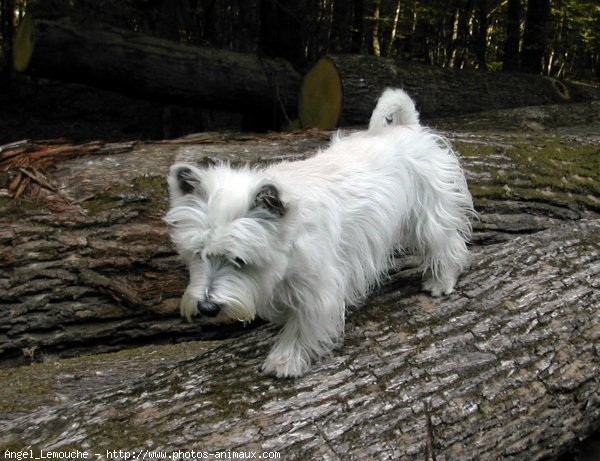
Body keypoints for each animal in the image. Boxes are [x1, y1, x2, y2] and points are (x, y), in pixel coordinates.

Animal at [164, 88, 474, 376]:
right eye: (198, 253)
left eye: (239, 260)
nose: (207, 308)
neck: (290, 235)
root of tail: (407, 126)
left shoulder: (318, 288)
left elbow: (302, 325)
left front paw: (284, 360)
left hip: (430, 214)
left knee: (446, 243)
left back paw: (441, 282)